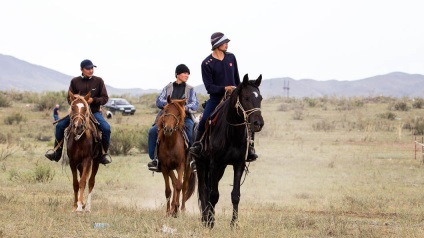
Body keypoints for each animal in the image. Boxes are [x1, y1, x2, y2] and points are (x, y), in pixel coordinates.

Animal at [196, 74, 264, 227]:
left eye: (260, 98)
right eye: (246, 98)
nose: (258, 123)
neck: (232, 133)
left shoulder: (238, 164)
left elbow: (235, 195)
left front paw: (234, 224)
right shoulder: (214, 164)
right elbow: (214, 194)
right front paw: (211, 222)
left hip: (220, 168)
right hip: (201, 163)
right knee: (203, 190)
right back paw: (204, 219)